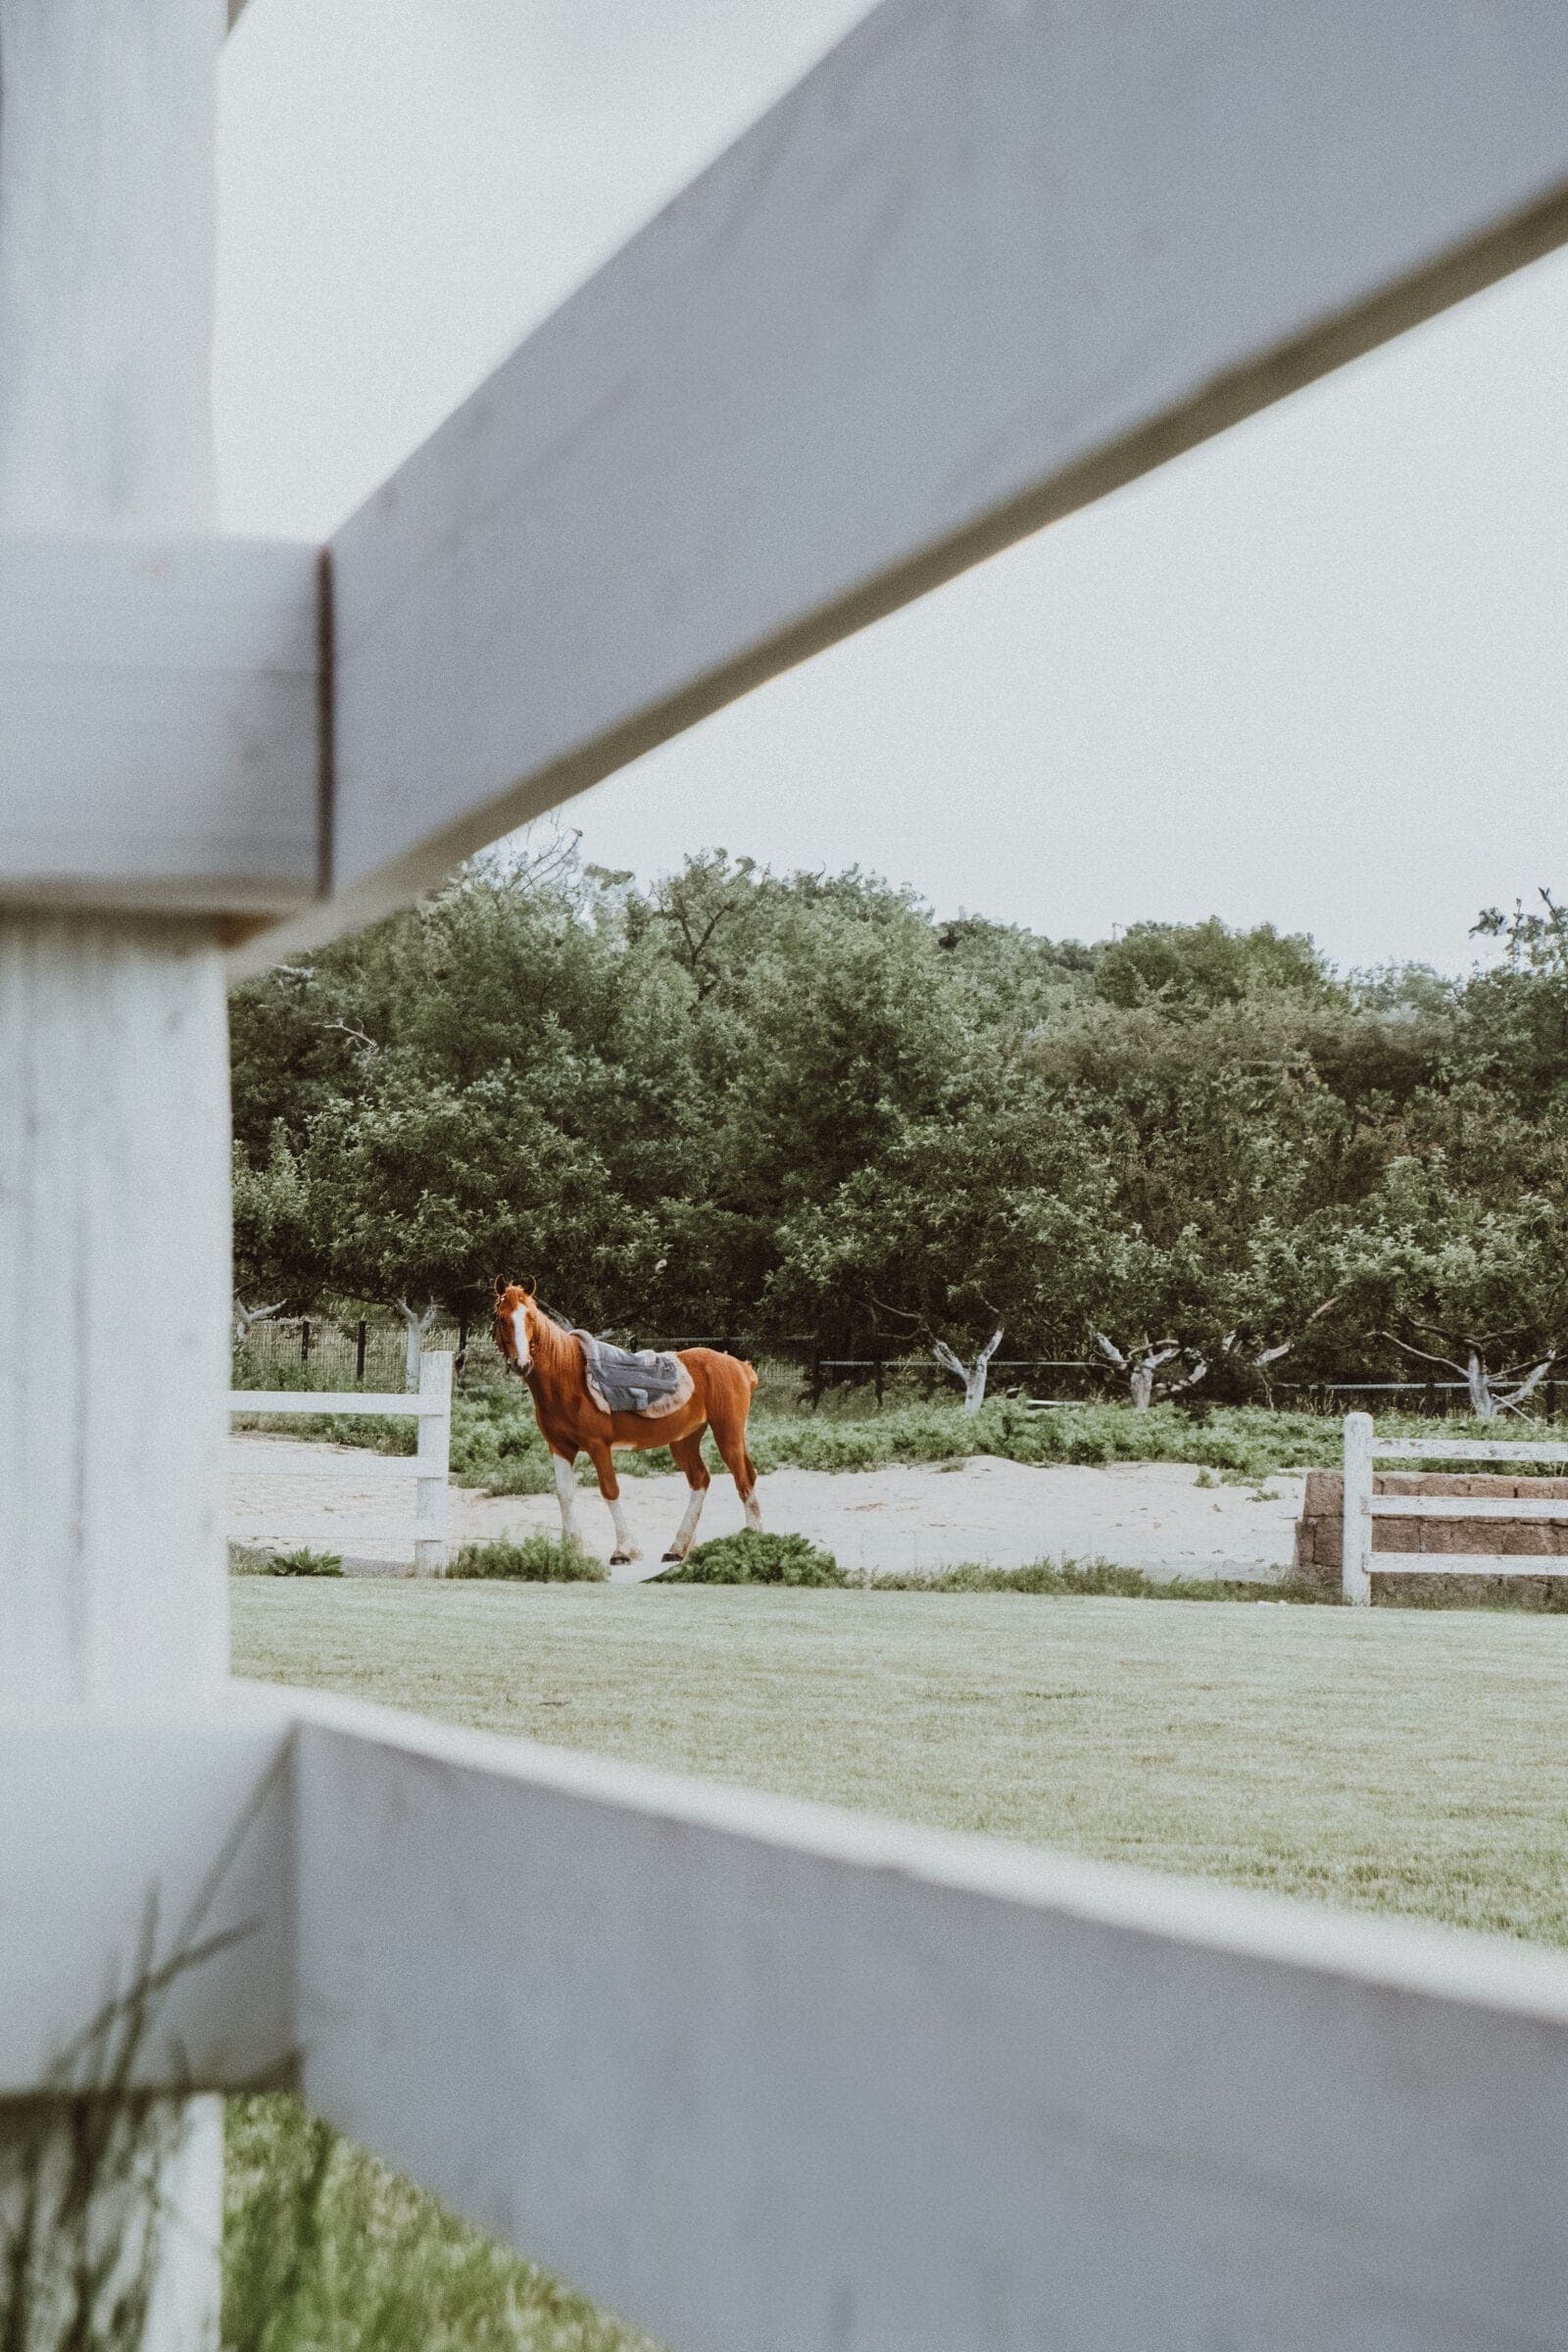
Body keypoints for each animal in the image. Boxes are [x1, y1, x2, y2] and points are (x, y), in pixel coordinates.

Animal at [492, 1281, 762, 1566]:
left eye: (531, 1318)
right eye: (501, 1318)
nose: (522, 1363)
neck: (566, 1377)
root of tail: (740, 1366)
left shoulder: (598, 1446)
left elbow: (610, 1490)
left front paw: (623, 1551)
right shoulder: (559, 1446)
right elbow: (565, 1494)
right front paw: (571, 1550)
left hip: (728, 1433)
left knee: (743, 1478)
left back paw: (752, 1536)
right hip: (685, 1440)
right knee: (700, 1479)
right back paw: (677, 1549)